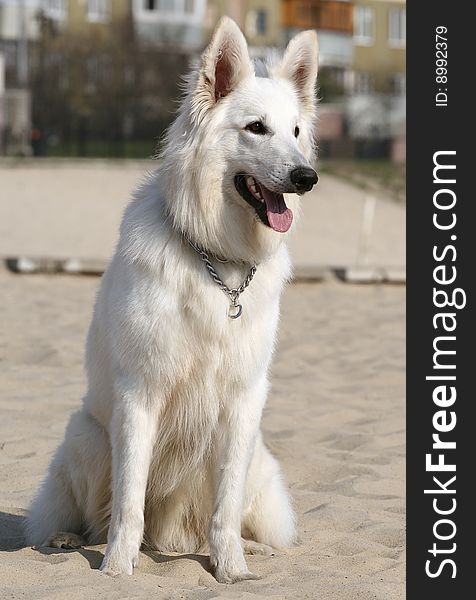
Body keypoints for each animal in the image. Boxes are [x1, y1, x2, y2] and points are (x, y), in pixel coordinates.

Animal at [24, 17, 318, 580]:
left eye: (295, 132)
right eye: (256, 128)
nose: (306, 177)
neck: (218, 261)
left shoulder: (243, 401)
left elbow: (225, 507)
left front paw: (232, 569)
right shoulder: (140, 394)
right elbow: (128, 501)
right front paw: (117, 568)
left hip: (258, 454)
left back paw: (253, 549)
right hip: (88, 437)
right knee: (92, 514)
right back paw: (66, 538)